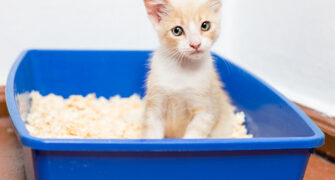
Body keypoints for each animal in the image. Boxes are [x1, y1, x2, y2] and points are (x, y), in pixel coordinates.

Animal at [144, 0, 236, 139]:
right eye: (177, 30)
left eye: (205, 26)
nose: (195, 44)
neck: (182, 68)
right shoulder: (154, 106)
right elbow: (151, 134)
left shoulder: (205, 110)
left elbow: (193, 137)